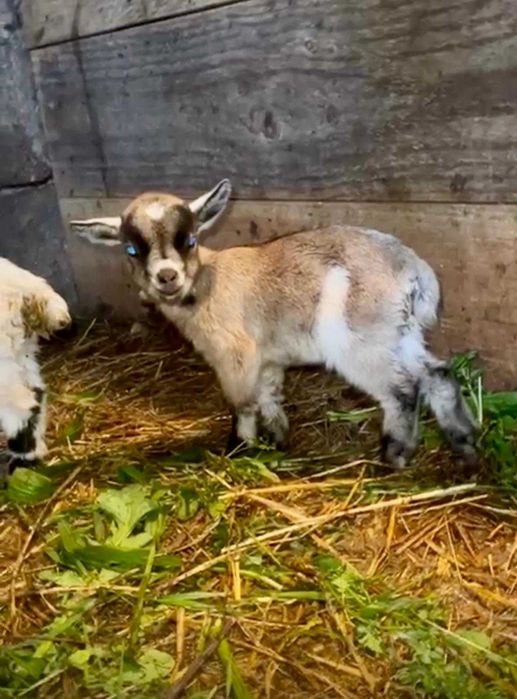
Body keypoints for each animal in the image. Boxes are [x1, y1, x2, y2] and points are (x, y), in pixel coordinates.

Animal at [70, 181, 477, 467]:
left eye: (189, 240)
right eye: (131, 250)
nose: (166, 277)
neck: (206, 283)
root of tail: (413, 269)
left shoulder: (235, 356)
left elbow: (242, 404)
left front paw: (238, 449)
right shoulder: (266, 360)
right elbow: (268, 398)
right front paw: (278, 441)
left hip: (362, 341)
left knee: (402, 389)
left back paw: (394, 455)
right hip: (400, 333)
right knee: (437, 374)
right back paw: (465, 445)